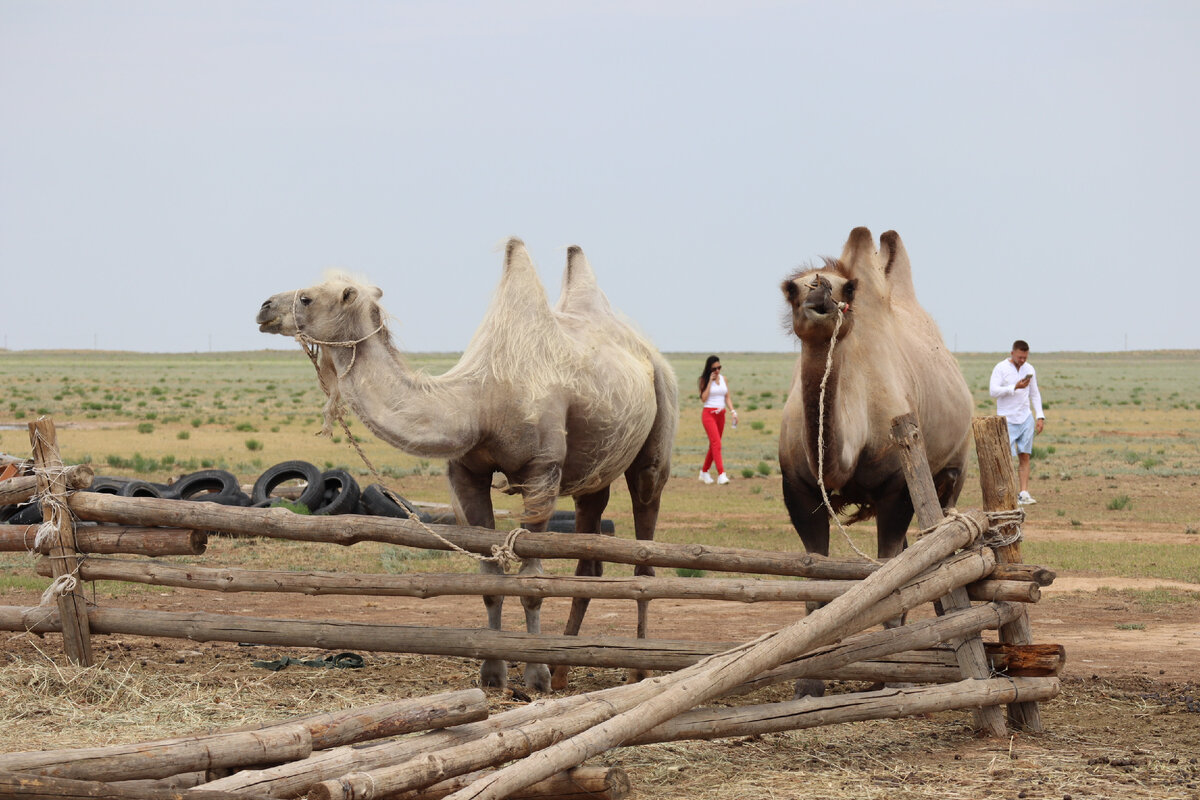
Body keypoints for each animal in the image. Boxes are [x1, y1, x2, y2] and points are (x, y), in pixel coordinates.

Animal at [256, 239, 681, 695]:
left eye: (306, 297)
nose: (264, 307)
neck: (480, 402)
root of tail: (648, 353)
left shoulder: (542, 472)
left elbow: (533, 584)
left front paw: (536, 676)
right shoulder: (465, 473)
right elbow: (490, 579)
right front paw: (493, 673)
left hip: (657, 432)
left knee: (644, 553)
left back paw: (636, 670)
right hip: (593, 472)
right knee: (589, 560)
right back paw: (565, 668)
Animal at [777, 225, 974, 566]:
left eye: (848, 289)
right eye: (791, 289)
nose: (819, 295)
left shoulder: (898, 484)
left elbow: (890, 560)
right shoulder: (796, 488)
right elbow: (814, 562)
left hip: (956, 465)